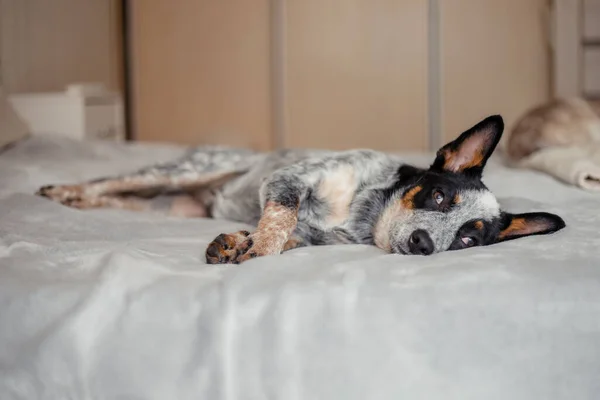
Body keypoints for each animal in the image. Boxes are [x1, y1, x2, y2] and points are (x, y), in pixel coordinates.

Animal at [38, 114, 568, 264]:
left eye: (466, 238)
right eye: (439, 197)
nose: (423, 243)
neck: (361, 215)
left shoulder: (318, 240)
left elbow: (285, 235)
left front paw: (236, 242)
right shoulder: (288, 180)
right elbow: (281, 218)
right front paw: (254, 247)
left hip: (170, 208)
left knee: (118, 199)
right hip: (181, 173)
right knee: (113, 181)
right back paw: (62, 191)